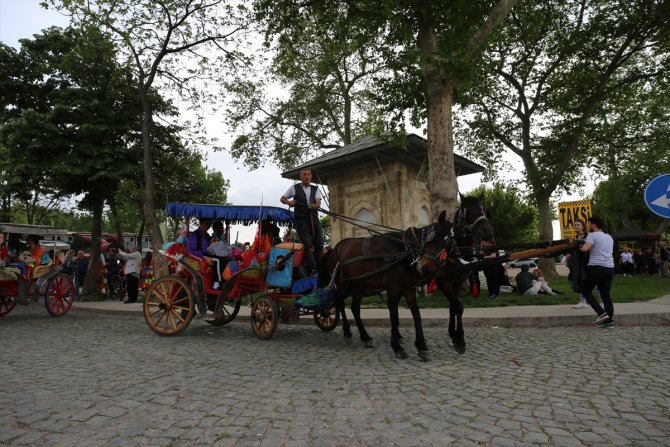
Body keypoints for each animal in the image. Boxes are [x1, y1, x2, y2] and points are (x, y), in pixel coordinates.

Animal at [318, 212, 454, 362]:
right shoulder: (393, 288)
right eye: (431, 238)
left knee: (355, 309)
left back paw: (365, 337)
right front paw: (397, 347)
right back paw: (347, 332)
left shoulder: (408, 288)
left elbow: (416, 315)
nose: (426, 267)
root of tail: (334, 249)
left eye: (448, 243)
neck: (405, 250)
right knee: (340, 303)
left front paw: (422, 347)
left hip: (359, 285)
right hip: (342, 284)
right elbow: (394, 315)